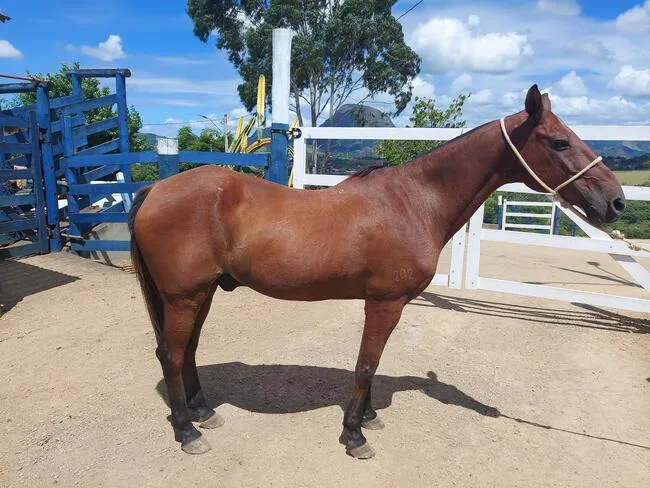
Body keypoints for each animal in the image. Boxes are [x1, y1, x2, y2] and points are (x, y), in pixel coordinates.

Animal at [128, 86, 624, 458]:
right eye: (559, 142)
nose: (616, 202)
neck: (415, 201)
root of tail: (156, 189)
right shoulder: (385, 303)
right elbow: (367, 364)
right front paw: (354, 434)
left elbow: (375, 363)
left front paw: (367, 417)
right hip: (184, 296)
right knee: (171, 354)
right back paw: (187, 431)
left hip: (203, 293)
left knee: (188, 351)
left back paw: (202, 412)